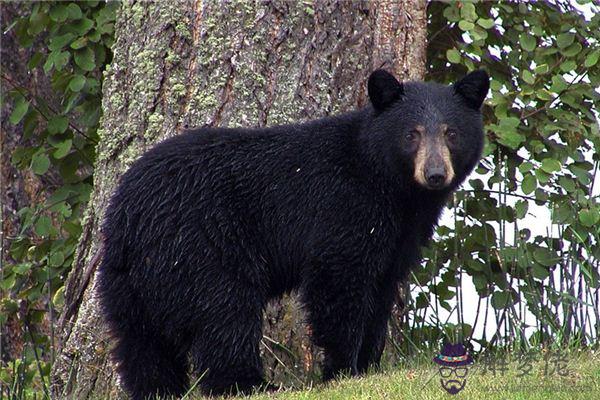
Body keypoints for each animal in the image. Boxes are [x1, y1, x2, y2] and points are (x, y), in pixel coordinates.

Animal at [97, 69, 488, 400]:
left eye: (452, 133)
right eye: (412, 133)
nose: (435, 174)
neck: (391, 185)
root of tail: (128, 213)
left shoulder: (400, 235)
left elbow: (381, 289)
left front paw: (369, 366)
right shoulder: (344, 208)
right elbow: (338, 281)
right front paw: (342, 370)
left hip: (128, 279)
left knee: (142, 342)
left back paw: (158, 389)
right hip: (201, 245)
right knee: (224, 312)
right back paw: (250, 383)